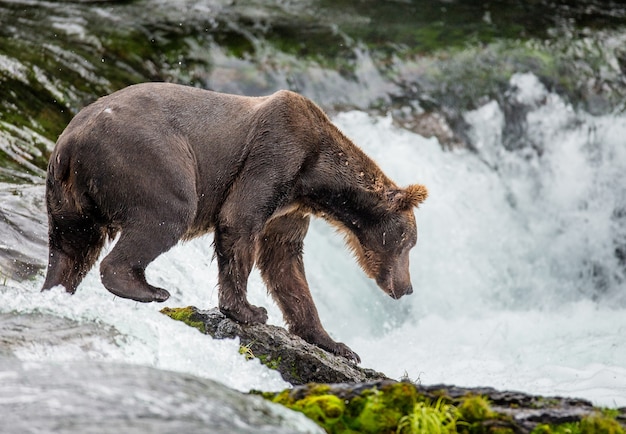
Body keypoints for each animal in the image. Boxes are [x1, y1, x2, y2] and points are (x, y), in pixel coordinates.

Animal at [42, 83, 424, 362]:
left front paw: (336, 344)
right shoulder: (276, 153)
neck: (315, 179)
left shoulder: (289, 209)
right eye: (409, 242)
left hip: (67, 197)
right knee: (167, 214)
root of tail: (72, 141)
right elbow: (240, 221)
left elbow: (286, 265)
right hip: (148, 157)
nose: (407, 287)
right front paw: (250, 310)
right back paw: (150, 289)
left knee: (72, 247)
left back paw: (57, 289)